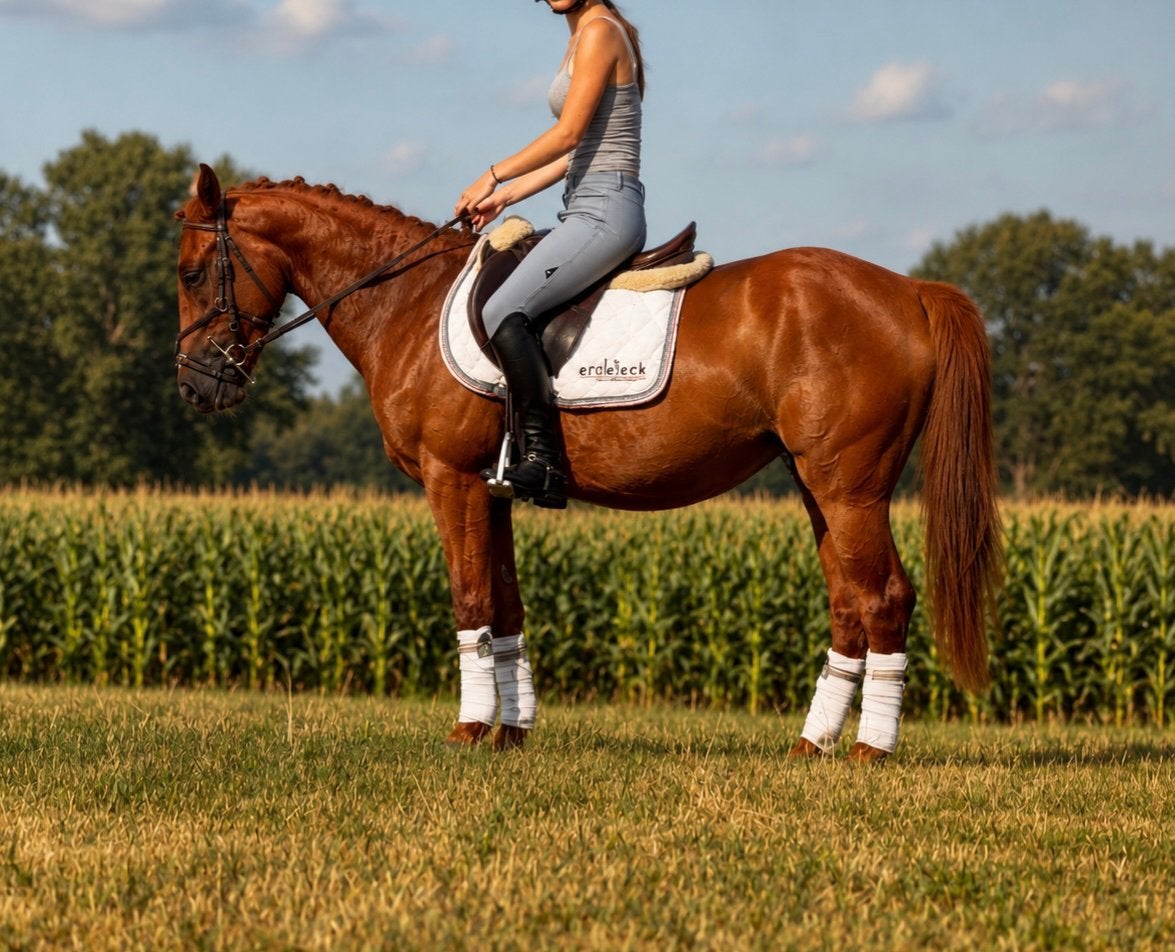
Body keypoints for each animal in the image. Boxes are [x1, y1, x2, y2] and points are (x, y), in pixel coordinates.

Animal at [174, 164, 1001, 761]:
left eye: (190, 273)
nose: (195, 385)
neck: (404, 302)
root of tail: (908, 288)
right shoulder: (494, 490)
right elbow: (506, 605)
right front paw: (512, 731)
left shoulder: (451, 480)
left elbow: (470, 600)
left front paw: (469, 730)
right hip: (815, 488)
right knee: (848, 602)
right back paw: (812, 742)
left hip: (850, 487)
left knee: (885, 597)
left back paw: (870, 749)